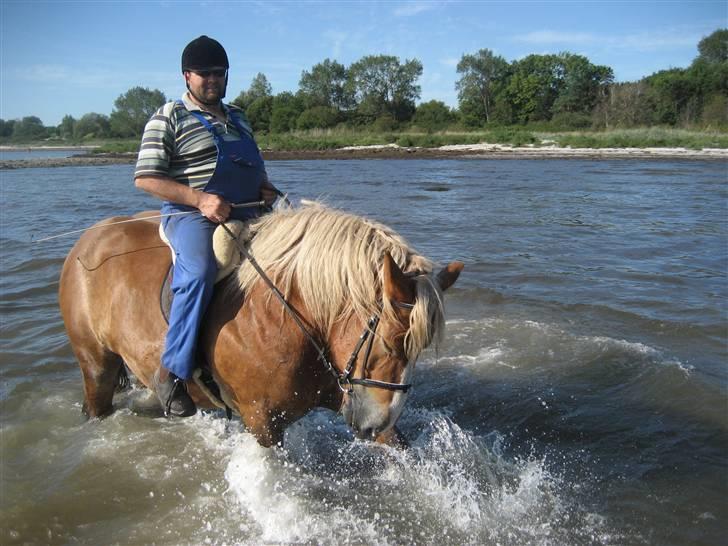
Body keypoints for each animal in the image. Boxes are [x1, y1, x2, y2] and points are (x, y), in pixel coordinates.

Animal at [59, 204, 464, 446]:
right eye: (391, 343)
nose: (375, 423)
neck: (292, 316)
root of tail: (90, 237)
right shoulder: (262, 423)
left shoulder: (356, 401)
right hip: (96, 365)